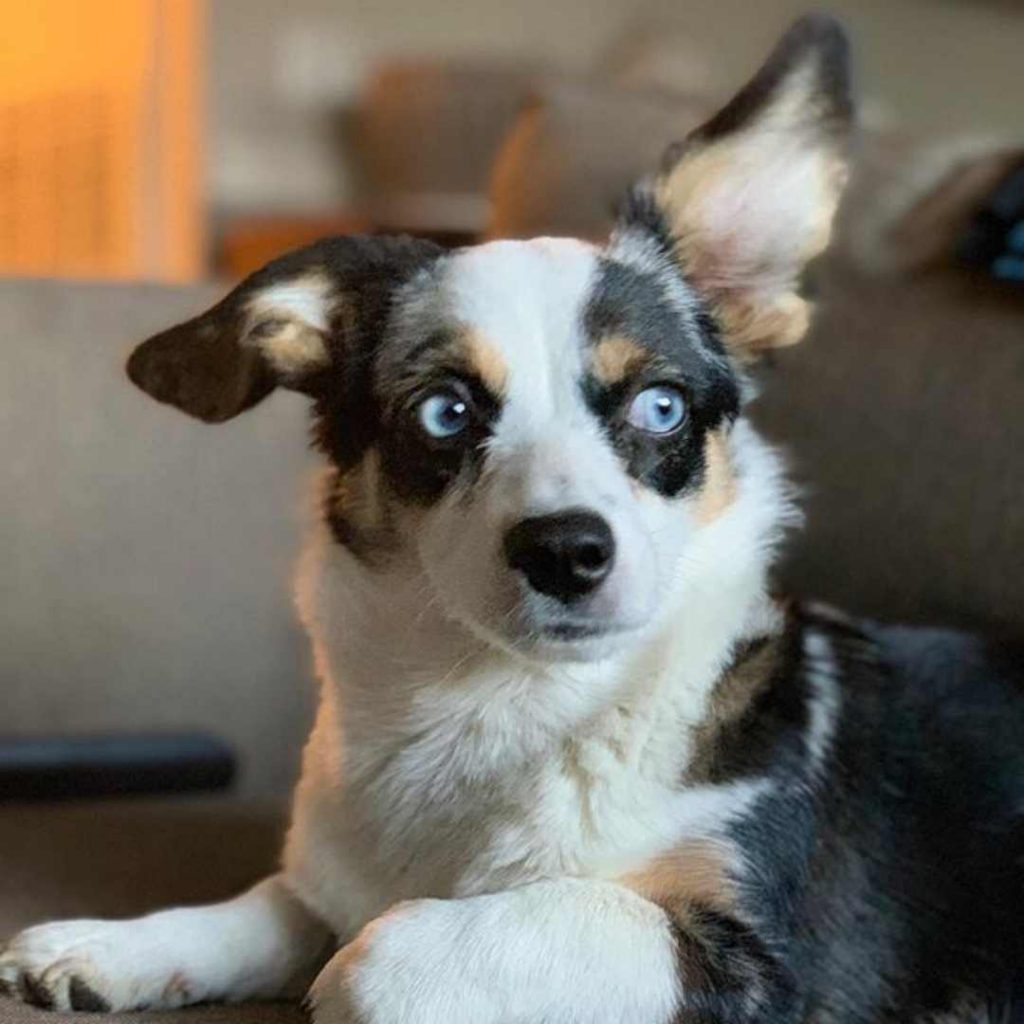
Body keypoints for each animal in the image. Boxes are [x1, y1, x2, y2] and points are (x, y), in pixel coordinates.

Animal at [2, 16, 1024, 1024]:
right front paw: (111, 946)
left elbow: (393, 946)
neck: (495, 702)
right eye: (444, 412)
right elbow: (275, 905)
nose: (567, 552)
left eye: (661, 406)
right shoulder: (323, 881)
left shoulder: (761, 966)